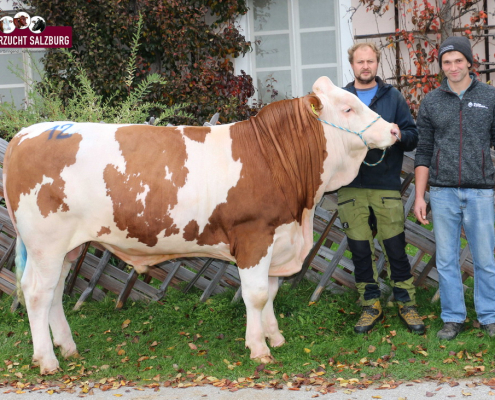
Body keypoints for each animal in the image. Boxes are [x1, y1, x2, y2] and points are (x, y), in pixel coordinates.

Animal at [3, 76, 400, 374]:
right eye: (348, 107)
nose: (395, 129)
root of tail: (25, 134)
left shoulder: (278, 237)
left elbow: (271, 292)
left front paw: (275, 337)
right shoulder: (254, 235)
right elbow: (256, 295)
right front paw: (259, 349)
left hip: (69, 246)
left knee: (55, 292)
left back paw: (68, 348)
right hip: (46, 243)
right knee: (37, 293)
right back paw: (48, 360)